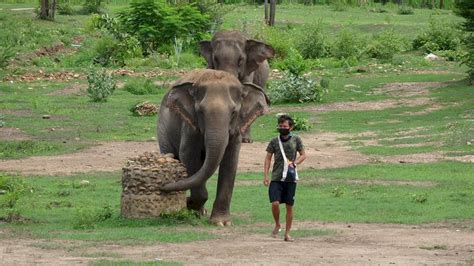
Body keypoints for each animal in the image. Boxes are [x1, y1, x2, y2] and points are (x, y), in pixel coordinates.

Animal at [158, 68, 270, 224]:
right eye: (200, 111)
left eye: (234, 112)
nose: (163, 187)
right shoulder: (189, 125)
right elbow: (188, 156)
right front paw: (192, 205)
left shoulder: (236, 130)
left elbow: (230, 161)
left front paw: (221, 222)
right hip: (163, 129)